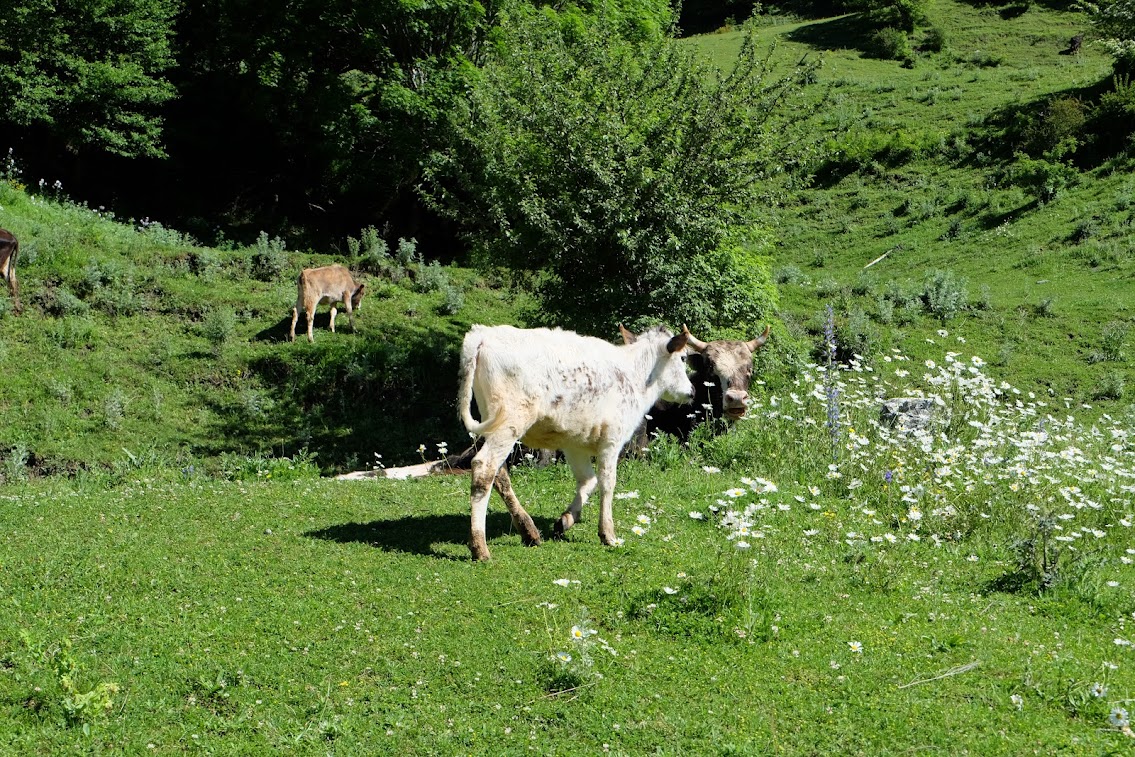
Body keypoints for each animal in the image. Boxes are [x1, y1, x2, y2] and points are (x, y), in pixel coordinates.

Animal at [456, 322, 694, 560]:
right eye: (683, 358)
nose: (692, 391)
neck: (635, 376)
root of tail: (483, 334)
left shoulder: (574, 443)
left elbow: (588, 480)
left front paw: (565, 520)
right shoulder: (612, 439)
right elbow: (607, 482)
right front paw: (608, 534)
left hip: (493, 420)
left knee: (500, 474)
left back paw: (529, 531)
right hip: (510, 421)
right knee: (484, 467)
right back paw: (480, 547)